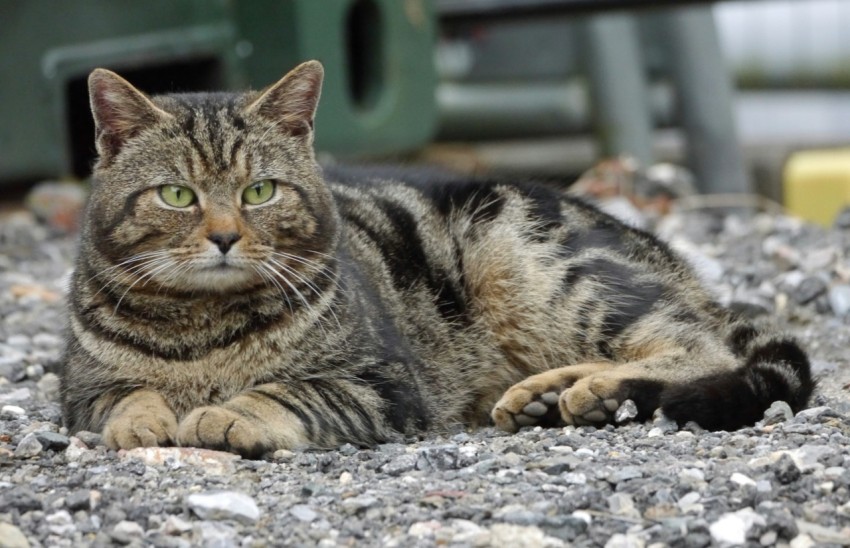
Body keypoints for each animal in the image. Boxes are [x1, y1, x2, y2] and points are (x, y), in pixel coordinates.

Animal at [61, 61, 816, 458]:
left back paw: (595, 390)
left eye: (259, 191)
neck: (204, 329)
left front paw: (231, 413)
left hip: (534, 261)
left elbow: (290, 390)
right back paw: (551, 395)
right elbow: (124, 394)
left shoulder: (383, 382)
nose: (223, 236)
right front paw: (146, 417)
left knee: (700, 347)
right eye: (178, 195)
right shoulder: (78, 390)